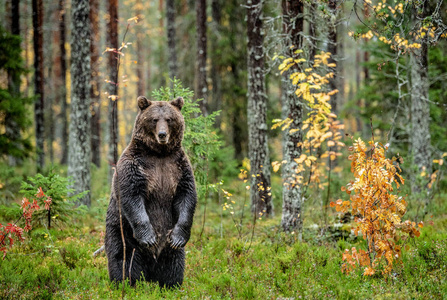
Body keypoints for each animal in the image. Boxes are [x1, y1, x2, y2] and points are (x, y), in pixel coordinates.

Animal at [106, 96, 197, 288]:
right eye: (154, 119)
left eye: (169, 119)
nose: (162, 134)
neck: (159, 154)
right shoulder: (135, 165)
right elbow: (132, 196)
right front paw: (149, 237)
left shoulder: (179, 168)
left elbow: (186, 196)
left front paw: (178, 238)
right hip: (123, 231)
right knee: (123, 259)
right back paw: (125, 283)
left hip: (168, 248)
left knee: (174, 264)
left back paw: (170, 284)